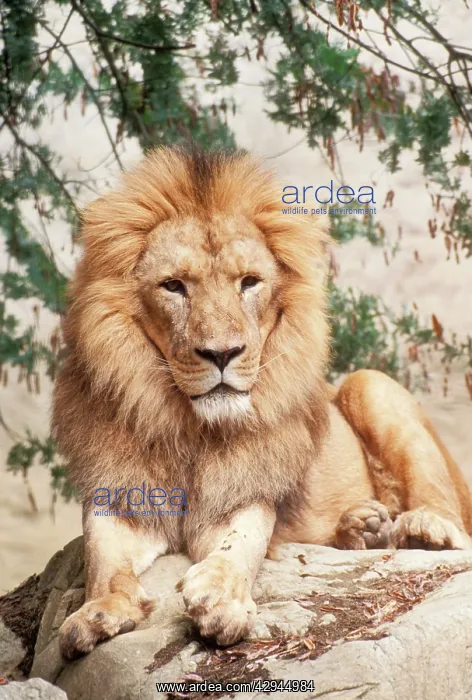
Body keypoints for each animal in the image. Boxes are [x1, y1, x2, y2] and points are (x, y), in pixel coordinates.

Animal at [53, 146, 472, 660]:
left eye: (249, 282)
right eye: (174, 286)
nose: (221, 354)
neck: (191, 428)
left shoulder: (248, 491)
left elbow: (243, 543)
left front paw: (221, 599)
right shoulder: (120, 494)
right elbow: (101, 558)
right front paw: (96, 612)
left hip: (370, 384)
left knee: (450, 520)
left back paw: (421, 531)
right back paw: (364, 526)